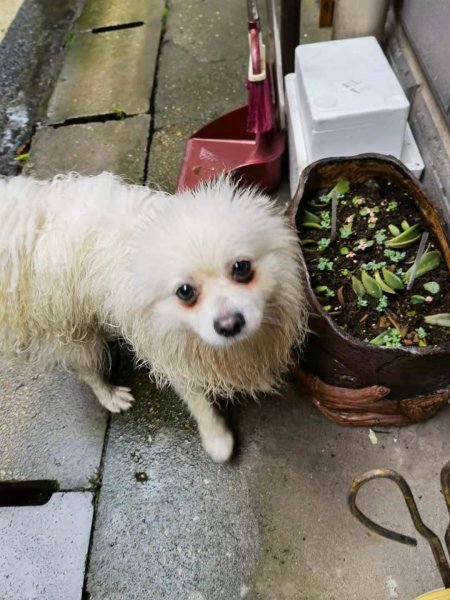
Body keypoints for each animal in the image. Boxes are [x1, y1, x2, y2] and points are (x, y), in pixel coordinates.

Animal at [0, 173, 307, 462]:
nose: (229, 325)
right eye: (185, 292)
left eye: (241, 267)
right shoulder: (171, 353)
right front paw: (217, 439)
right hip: (68, 332)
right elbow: (198, 401)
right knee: (86, 369)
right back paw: (110, 395)